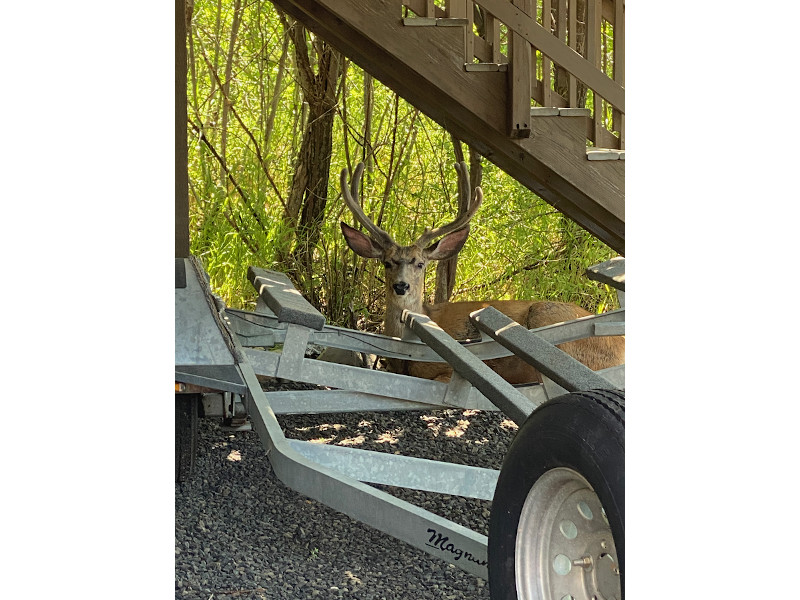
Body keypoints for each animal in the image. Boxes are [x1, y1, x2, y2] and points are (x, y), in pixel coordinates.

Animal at [340, 162, 624, 382]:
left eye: (420, 263)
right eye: (387, 262)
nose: (401, 286)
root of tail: (620, 344)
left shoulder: (444, 369)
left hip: (548, 317)